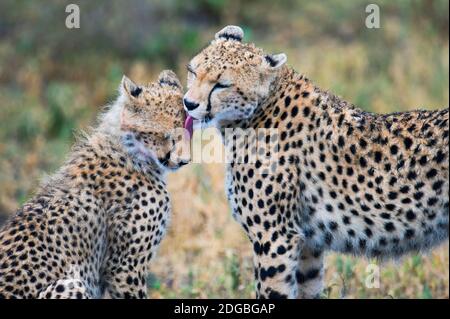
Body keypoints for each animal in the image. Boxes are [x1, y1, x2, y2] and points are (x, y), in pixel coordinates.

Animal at [184, 25, 450, 300]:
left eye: (221, 85)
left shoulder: (276, 238)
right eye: (192, 71)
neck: (258, 109)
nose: (188, 103)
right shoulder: (308, 242)